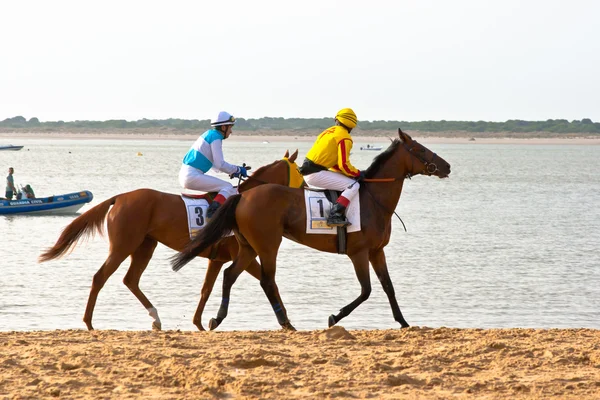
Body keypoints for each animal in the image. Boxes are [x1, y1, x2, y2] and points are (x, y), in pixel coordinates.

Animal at [38, 150, 304, 332]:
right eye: (301, 173)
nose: (305, 192)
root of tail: (120, 197)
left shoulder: (218, 259)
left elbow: (206, 289)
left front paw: (199, 323)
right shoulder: (243, 256)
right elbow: (267, 281)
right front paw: (287, 322)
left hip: (144, 246)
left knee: (130, 279)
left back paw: (155, 318)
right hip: (123, 246)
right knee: (100, 277)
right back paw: (89, 322)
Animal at [171, 130, 452, 330]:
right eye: (420, 149)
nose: (447, 166)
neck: (374, 199)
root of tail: (242, 196)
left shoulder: (376, 251)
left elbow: (388, 287)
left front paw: (403, 322)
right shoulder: (359, 253)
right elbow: (366, 290)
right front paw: (334, 317)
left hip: (249, 246)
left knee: (230, 274)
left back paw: (218, 318)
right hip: (268, 244)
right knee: (266, 279)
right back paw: (285, 322)